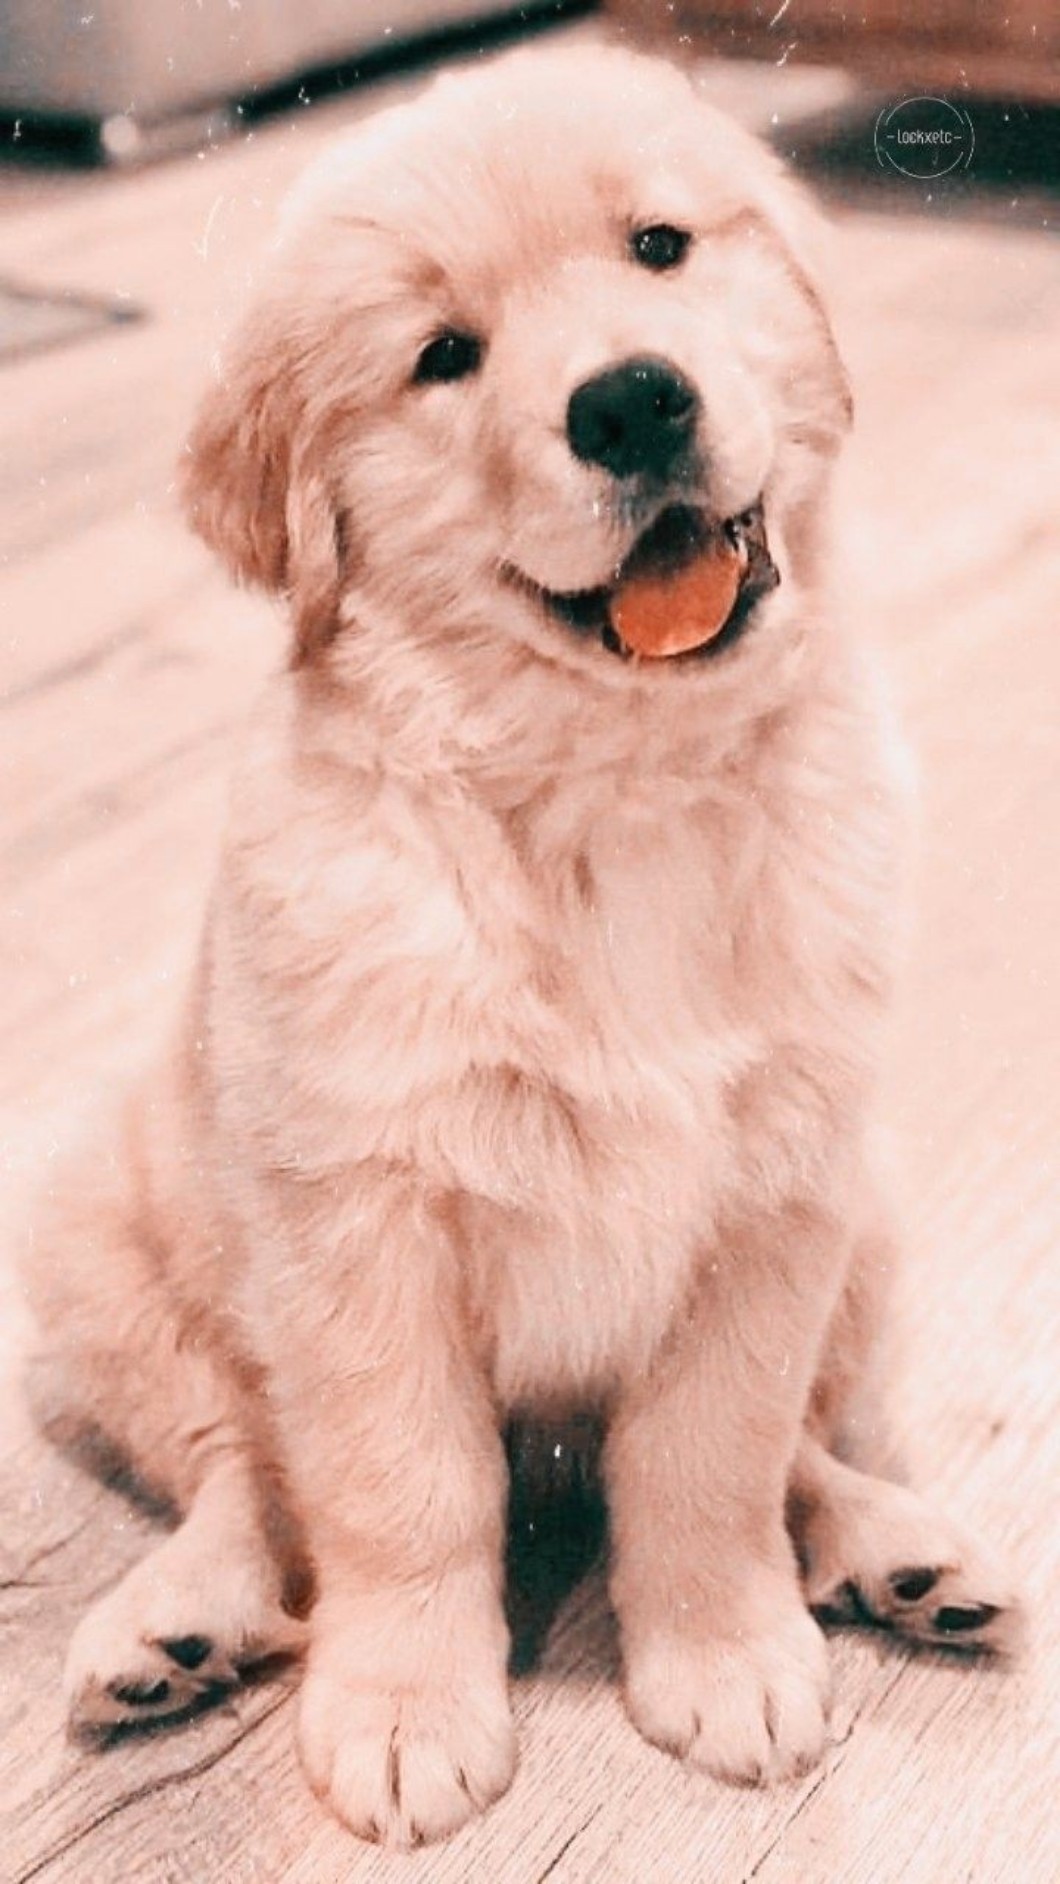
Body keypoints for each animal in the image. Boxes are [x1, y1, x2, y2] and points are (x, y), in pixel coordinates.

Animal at [27, 42, 1020, 1848]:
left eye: (660, 249)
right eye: (442, 357)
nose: (629, 401)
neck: (610, 788)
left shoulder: (776, 1196)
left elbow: (712, 1457)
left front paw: (725, 1653)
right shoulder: (360, 1225)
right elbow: (395, 1488)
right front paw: (408, 1710)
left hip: (874, 1217)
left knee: (804, 1448)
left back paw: (902, 1551)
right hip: (86, 1248)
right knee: (235, 1462)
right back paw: (171, 1626)